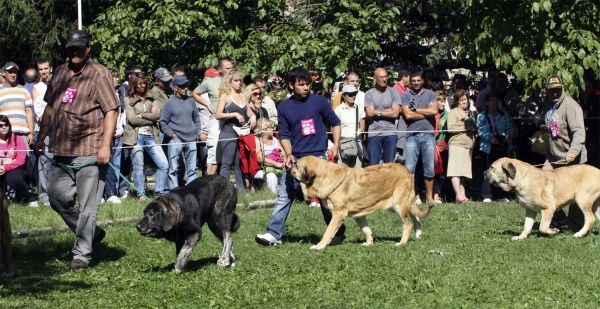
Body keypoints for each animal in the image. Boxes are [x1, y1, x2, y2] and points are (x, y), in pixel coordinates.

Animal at [290, 155, 432, 249]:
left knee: (408, 224)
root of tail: (407, 171)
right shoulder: (359, 215)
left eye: (296, 165)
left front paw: (319, 246)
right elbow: (366, 230)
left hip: (399, 206)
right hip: (397, 205)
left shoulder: (338, 214)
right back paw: (418, 234)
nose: (289, 165)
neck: (325, 177)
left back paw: (402, 243)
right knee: (416, 217)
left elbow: (328, 231)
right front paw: (369, 243)